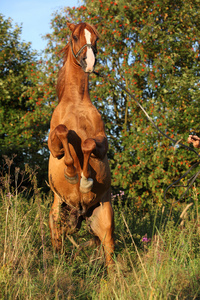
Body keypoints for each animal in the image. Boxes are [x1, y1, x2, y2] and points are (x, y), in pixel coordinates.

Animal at [47, 22, 115, 266]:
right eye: (76, 36)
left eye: (96, 38)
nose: (90, 62)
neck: (76, 103)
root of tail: (81, 213)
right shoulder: (53, 146)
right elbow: (63, 132)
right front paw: (70, 173)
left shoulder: (102, 143)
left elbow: (87, 144)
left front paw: (85, 181)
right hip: (57, 218)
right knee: (58, 244)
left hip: (104, 222)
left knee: (110, 256)